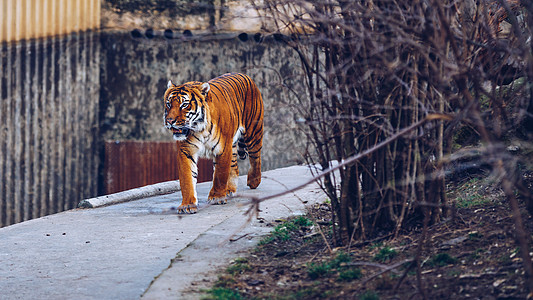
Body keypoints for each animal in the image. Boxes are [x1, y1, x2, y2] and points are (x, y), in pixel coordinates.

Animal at [162, 72, 262, 213]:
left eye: (184, 105)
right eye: (169, 104)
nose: (170, 121)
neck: (199, 129)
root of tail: (244, 75)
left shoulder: (223, 149)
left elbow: (220, 174)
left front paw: (217, 197)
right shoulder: (186, 151)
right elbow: (187, 179)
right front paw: (187, 204)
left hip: (253, 133)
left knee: (255, 157)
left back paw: (253, 181)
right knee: (234, 167)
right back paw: (229, 189)